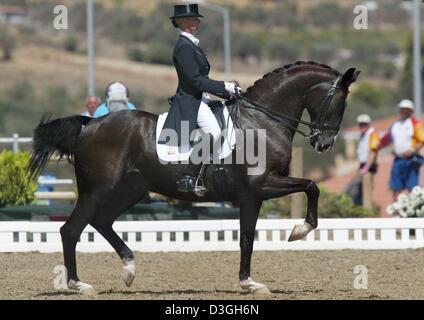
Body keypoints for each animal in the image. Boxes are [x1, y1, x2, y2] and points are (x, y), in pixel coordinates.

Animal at [29, 60, 358, 296]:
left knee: (101, 222)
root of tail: (90, 125)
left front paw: (249, 282)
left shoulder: (253, 195)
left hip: (131, 190)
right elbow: (311, 187)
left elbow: (247, 238)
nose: (324, 144)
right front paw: (300, 231)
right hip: (97, 190)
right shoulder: (261, 187)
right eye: (339, 101)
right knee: (71, 230)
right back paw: (79, 285)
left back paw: (129, 269)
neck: (262, 121)